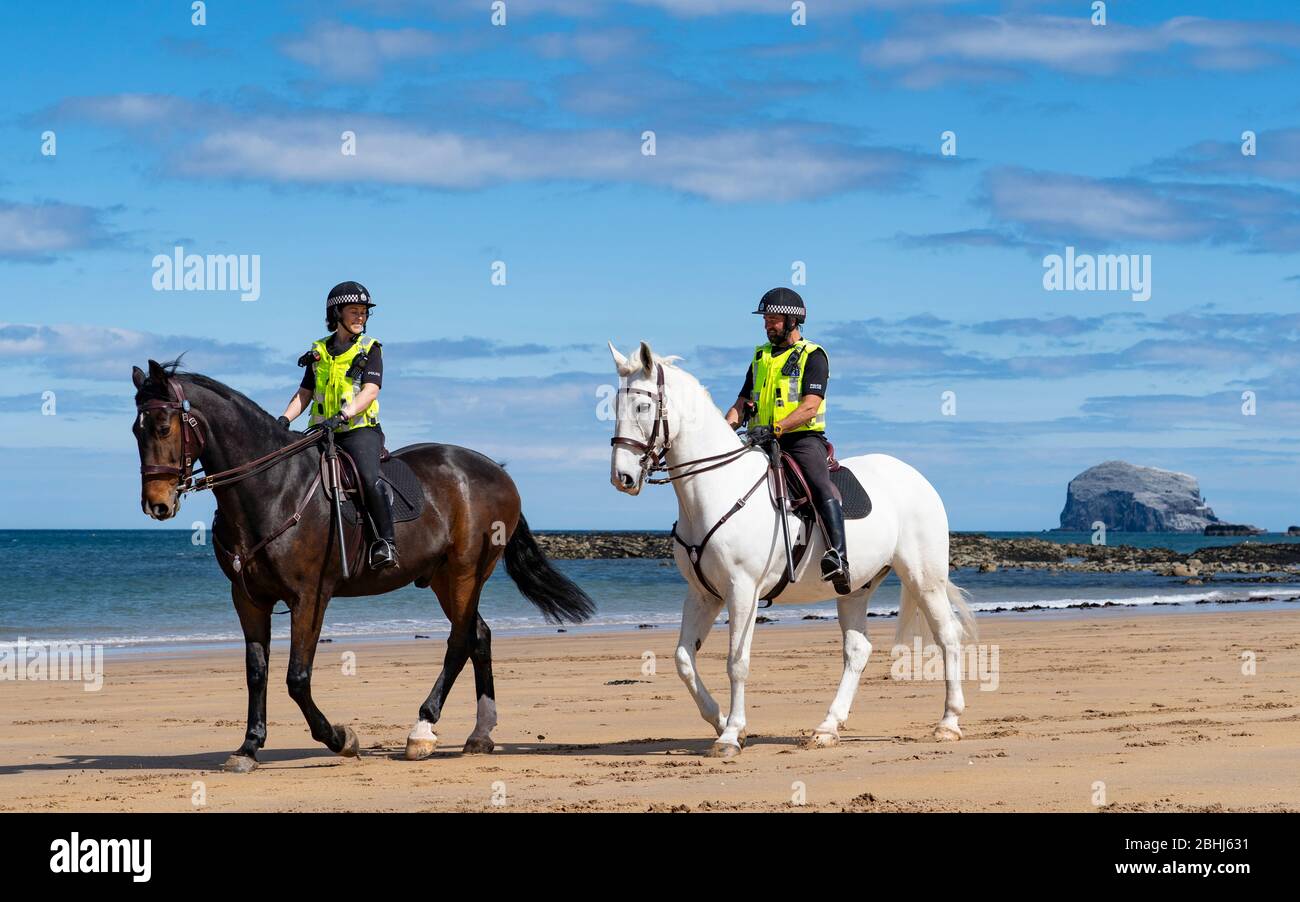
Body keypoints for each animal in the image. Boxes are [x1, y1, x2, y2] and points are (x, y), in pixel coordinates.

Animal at [130, 356, 590, 774]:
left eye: (164, 426)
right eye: (136, 430)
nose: (157, 504)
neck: (272, 487)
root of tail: (498, 471)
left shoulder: (309, 596)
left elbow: (297, 678)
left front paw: (341, 738)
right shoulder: (248, 599)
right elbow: (256, 673)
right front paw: (249, 747)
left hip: (465, 571)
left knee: (460, 640)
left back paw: (422, 731)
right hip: (444, 578)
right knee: (479, 635)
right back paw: (480, 733)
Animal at [608, 343, 977, 759]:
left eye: (643, 406)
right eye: (614, 405)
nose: (622, 478)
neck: (716, 487)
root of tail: (917, 477)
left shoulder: (743, 590)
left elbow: (737, 662)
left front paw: (730, 736)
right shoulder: (703, 593)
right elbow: (684, 659)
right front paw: (721, 720)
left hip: (923, 577)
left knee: (947, 636)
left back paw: (948, 722)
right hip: (855, 587)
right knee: (858, 650)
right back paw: (827, 728)